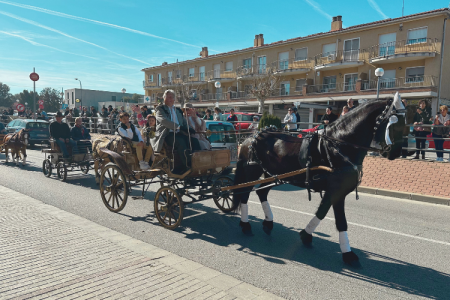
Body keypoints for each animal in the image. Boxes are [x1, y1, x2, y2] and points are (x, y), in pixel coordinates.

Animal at [230, 95, 406, 266]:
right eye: (393, 123)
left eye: (405, 123)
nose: (396, 152)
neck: (338, 145)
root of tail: (251, 138)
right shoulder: (336, 190)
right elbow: (340, 221)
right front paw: (348, 254)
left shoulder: (333, 191)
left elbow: (322, 212)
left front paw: (306, 235)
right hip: (252, 173)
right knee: (244, 195)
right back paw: (245, 224)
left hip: (272, 175)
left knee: (262, 192)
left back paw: (268, 222)